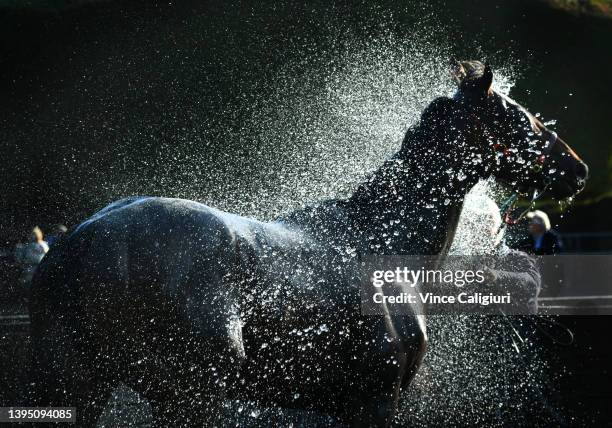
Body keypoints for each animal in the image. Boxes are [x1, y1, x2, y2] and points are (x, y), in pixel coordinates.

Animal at [29, 61, 588, 426]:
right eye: (519, 117)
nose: (577, 170)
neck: (380, 237)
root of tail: (79, 245)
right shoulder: (375, 404)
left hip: (80, 384)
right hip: (190, 398)